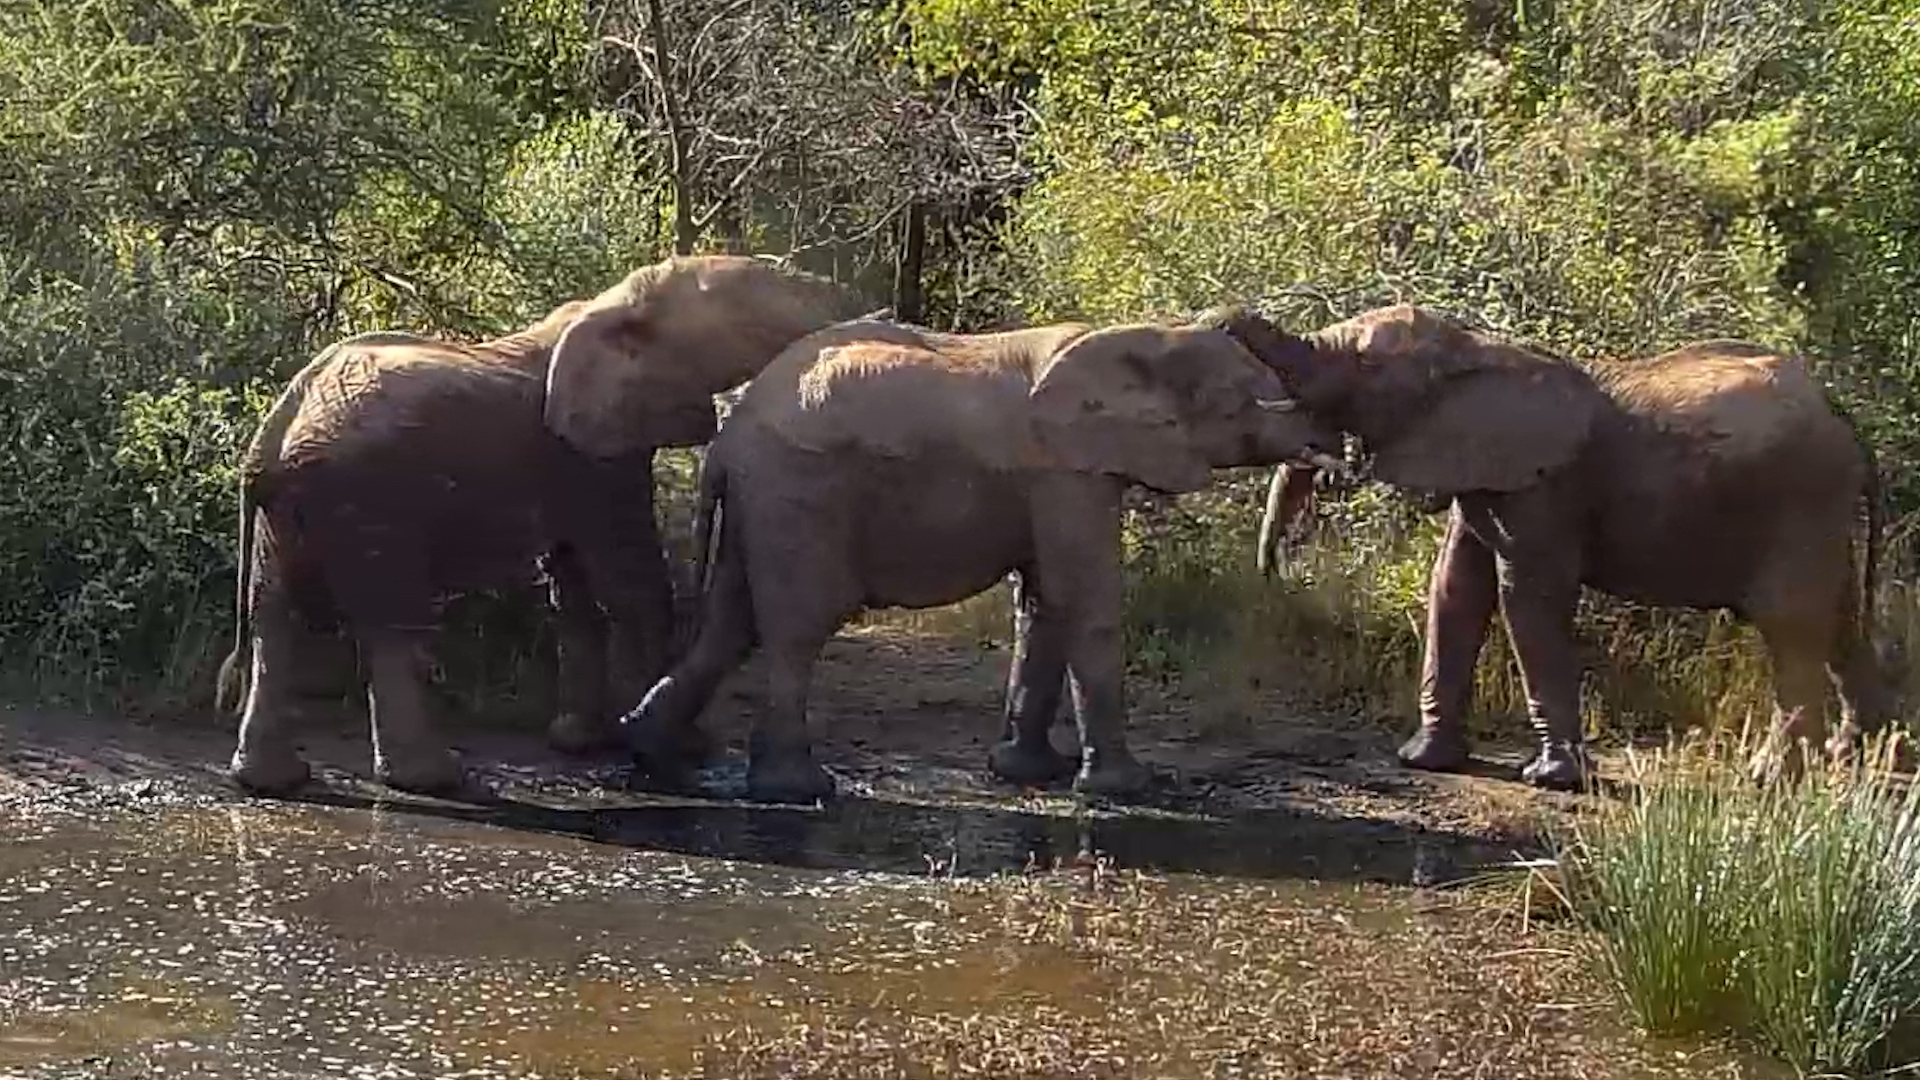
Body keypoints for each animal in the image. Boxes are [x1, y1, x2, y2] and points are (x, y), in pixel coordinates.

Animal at [218, 254, 880, 797]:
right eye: (760, 321)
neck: (618, 301)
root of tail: (276, 428)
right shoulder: (592, 460)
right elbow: (630, 580)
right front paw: (675, 746)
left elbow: (574, 587)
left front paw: (581, 741)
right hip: (370, 503)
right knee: (388, 624)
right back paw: (434, 778)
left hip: (294, 515)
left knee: (273, 619)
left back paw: (271, 781)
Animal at [615, 315, 1346, 803]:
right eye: (1243, 399)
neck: (1139, 335)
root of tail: (725, 438)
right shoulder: (1065, 470)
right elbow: (1085, 600)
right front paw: (1127, 787)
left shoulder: (1053, 478)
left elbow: (1044, 606)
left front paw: (1031, 774)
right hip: (799, 493)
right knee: (797, 626)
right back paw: (799, 790)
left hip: (763, 500)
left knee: (728, 625)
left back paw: (649, 752)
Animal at [1210, 303, 1893, 791]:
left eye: (1363, 367)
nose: (1274, 572)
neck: (1474, 347)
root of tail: (1844, 420)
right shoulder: (1486, 469)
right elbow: (1456, 586)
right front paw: (1423, 760)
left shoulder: (1544, 486)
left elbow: (1527, 597)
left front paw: (1552, 779)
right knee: (1840, 620)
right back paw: (1858, 761)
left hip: (1800, 498)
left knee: (1792, 623)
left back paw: (1773, 778)